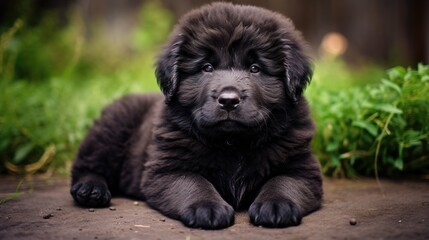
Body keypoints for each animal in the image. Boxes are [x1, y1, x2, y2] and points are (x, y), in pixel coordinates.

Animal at [72, 2, 322, 230]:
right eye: (207, 67)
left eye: (255, 68)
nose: (228, 100)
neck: (233, 143)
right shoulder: (166, 169)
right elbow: (193, 182)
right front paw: (207, 208)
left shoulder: (302, 166)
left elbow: (284, 181)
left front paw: (277, 205)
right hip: (111, 129)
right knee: (88, 164)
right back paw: (91, 189)